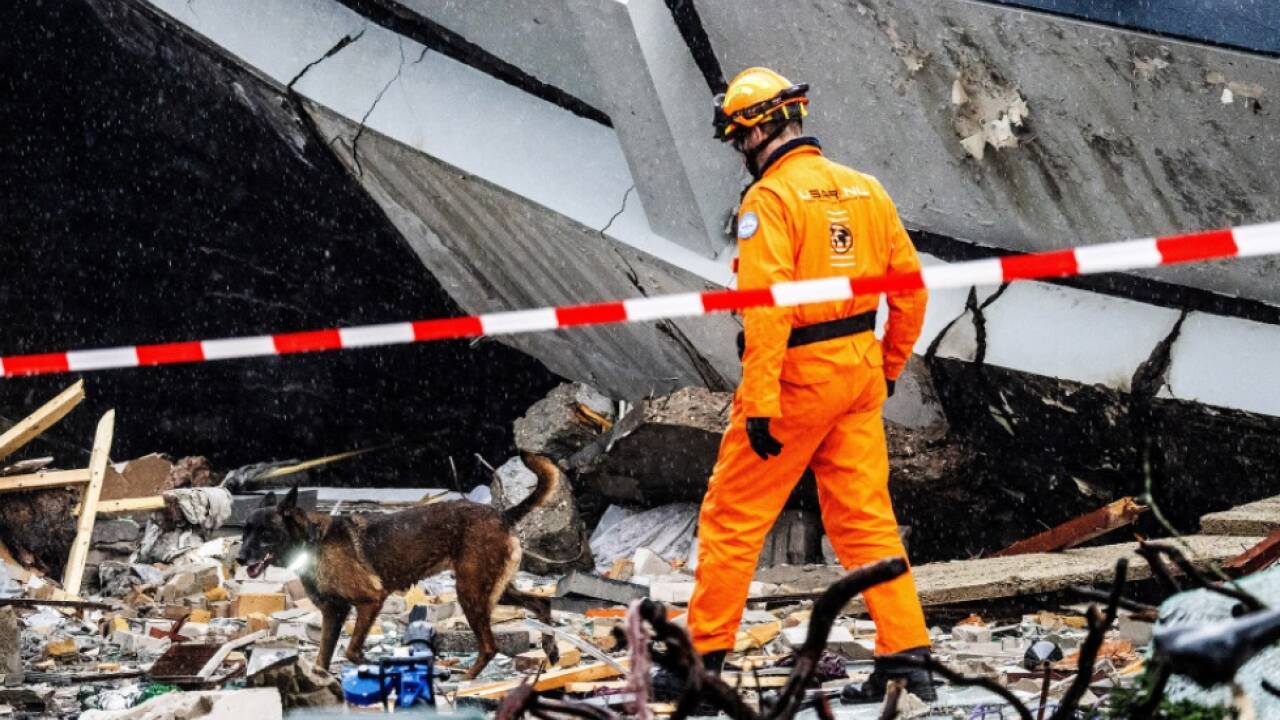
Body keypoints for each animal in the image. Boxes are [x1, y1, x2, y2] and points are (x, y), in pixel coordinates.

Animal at [238, 450, 558, 676]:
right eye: (244, 531)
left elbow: (352, 650)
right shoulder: (333, 613)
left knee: (491, 646)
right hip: (493, 588)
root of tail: (502, 515)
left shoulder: (370, 600)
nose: (240, 558)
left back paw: (466, 680)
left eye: (265, 533)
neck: (312, 542)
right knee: (541, 603)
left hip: (471, 591)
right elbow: (322, 659)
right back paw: (551, 650)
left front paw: (370, 663)